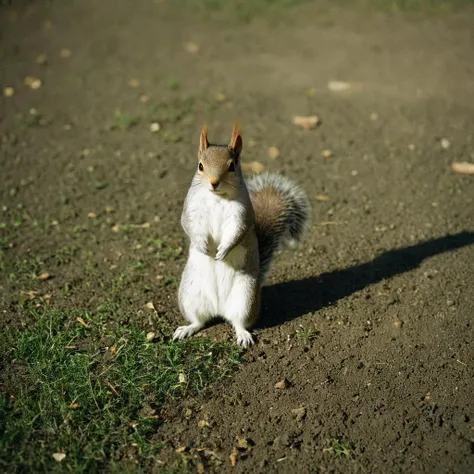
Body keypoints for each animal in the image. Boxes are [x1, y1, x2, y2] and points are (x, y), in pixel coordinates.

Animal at [172, 124, 310, 346]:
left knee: (238, 322)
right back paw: (187, 329)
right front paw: (202, 245)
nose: (213, 182)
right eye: (200, 166)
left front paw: (223, 251)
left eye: (232, 166)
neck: (217, 197)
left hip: (245, 297)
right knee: (199, 321)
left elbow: (237, 232)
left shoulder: (242, 215)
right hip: (190, 294)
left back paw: (243, 335)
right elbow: (188, 226)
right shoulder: (191, 210)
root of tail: (219, 309)